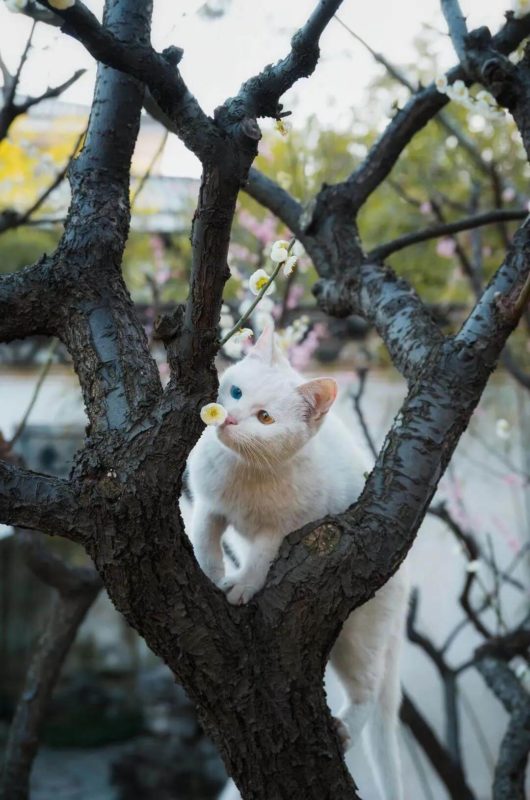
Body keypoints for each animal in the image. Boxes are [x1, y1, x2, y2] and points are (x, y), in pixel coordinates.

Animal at [187, 324, 408, 800]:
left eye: (265, 418)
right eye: (234, 391)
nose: (229, 419)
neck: (245, 472)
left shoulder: (286, 528)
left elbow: (263, 556)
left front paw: (244, 585)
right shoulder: (209, 502)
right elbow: (205, 533)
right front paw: (210, 570)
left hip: (359, 636)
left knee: (368, 688)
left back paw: (344, 729)